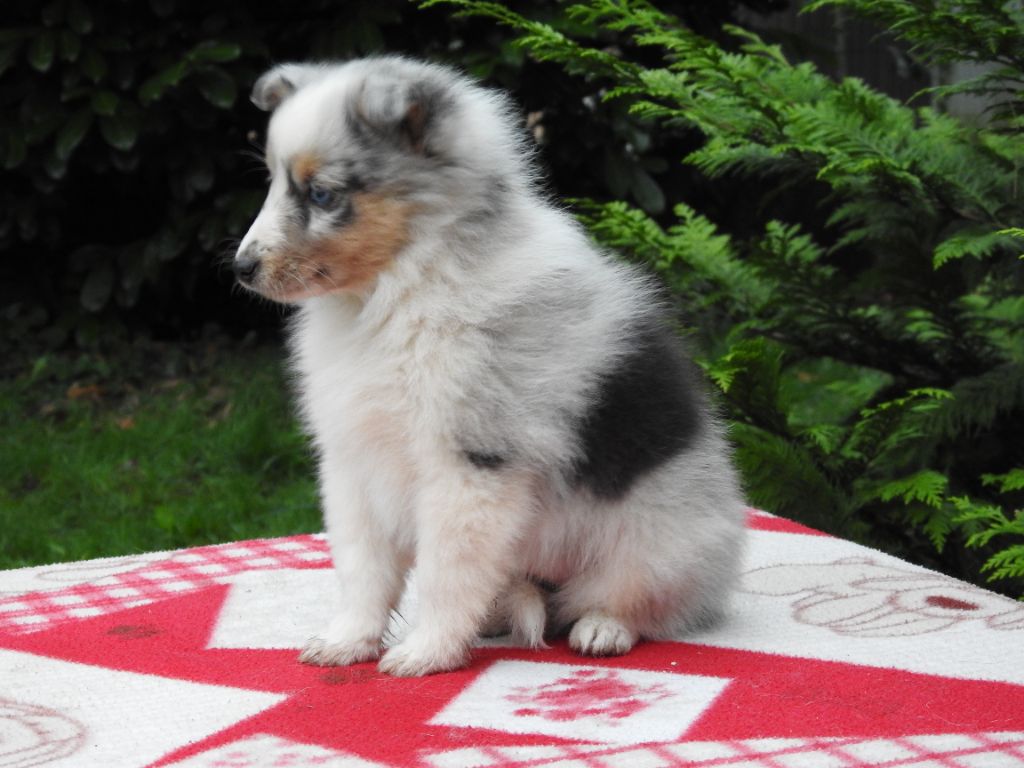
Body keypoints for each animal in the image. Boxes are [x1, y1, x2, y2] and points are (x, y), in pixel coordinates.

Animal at [234, 55, 745, 679]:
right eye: (272, 182)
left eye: (322, 194)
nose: (240, 269)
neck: (400, 289)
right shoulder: (354, 461)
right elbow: (363, 569)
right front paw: (348, 641)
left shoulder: (471, 465)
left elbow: (444, 573)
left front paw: (426, 652)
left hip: (660, 541)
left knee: (636, 599)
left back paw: (603, 627)